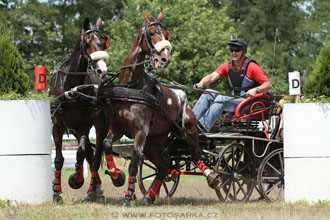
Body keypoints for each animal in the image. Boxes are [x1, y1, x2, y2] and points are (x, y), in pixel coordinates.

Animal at [49, 17, 124, 203]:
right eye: (88, 43)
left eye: (103, 43)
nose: (102, 70)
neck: (70, 89)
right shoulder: (57, 126)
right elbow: (59, 159)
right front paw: (56, 193)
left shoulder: (84, 125)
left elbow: (81, 153)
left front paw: (76, 178)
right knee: (91, 155)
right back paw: (95, 189)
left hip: (100, 125)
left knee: (95, 157)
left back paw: (93, 190)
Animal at [96, 11, 220, 206]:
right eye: (153, 32)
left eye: (166, 33)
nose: (165, 58)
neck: (131, 87)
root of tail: (183, 99)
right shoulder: (118, 127)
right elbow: (107, 145)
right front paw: (117, 177)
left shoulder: (140, 131)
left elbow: (134, 163)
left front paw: (127, 197)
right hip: (153, 142)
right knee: (164, 168)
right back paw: (148, 196)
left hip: (189, 131)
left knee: (196, 154)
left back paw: (212, 176)